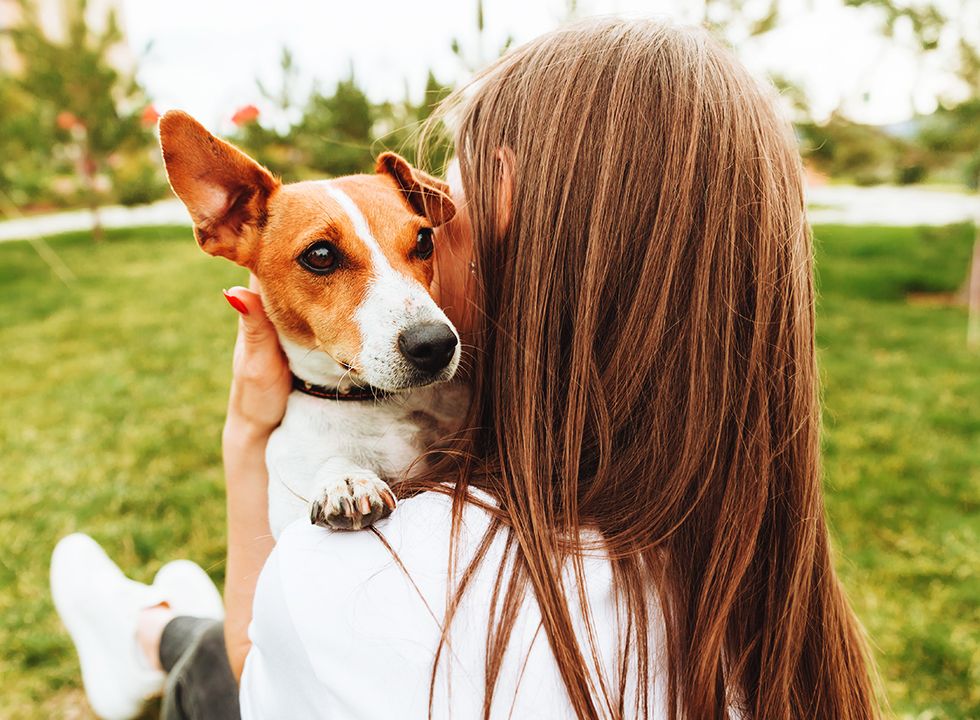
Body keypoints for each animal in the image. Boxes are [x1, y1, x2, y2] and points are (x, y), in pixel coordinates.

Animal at [159, 112, 466, 536]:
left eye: (424, 240)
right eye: (320, 255)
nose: (435, 344)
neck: (376, 407)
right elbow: (329, 461)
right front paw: (347, 479)